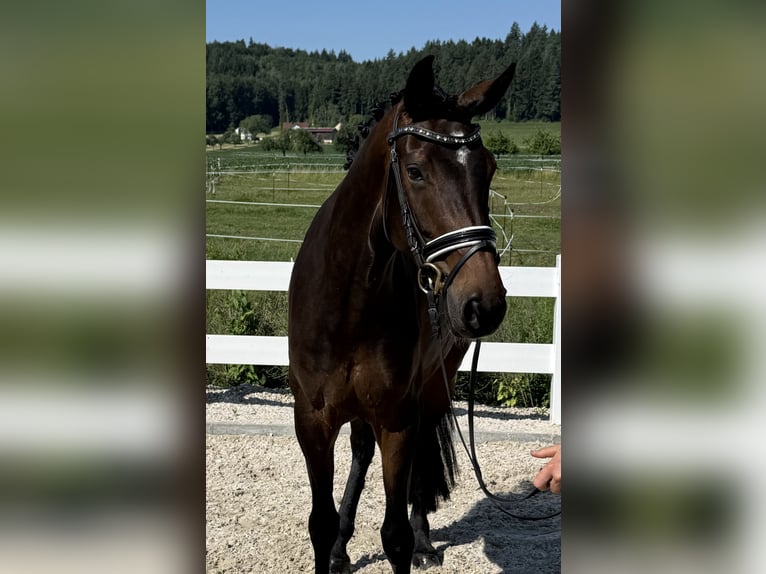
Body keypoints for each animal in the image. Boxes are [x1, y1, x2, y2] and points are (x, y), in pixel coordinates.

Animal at [288, 55, 516, 574]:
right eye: (414, 171)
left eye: (489, 169)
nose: (485, 304)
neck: (348, 301)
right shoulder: (312, 420)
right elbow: (319, 522)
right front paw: (333, 543)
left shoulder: (397, 418)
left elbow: (394, 535)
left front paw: (413, 540)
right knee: (360, 452)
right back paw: (342, 547)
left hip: (433, 385)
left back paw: (426, 541)